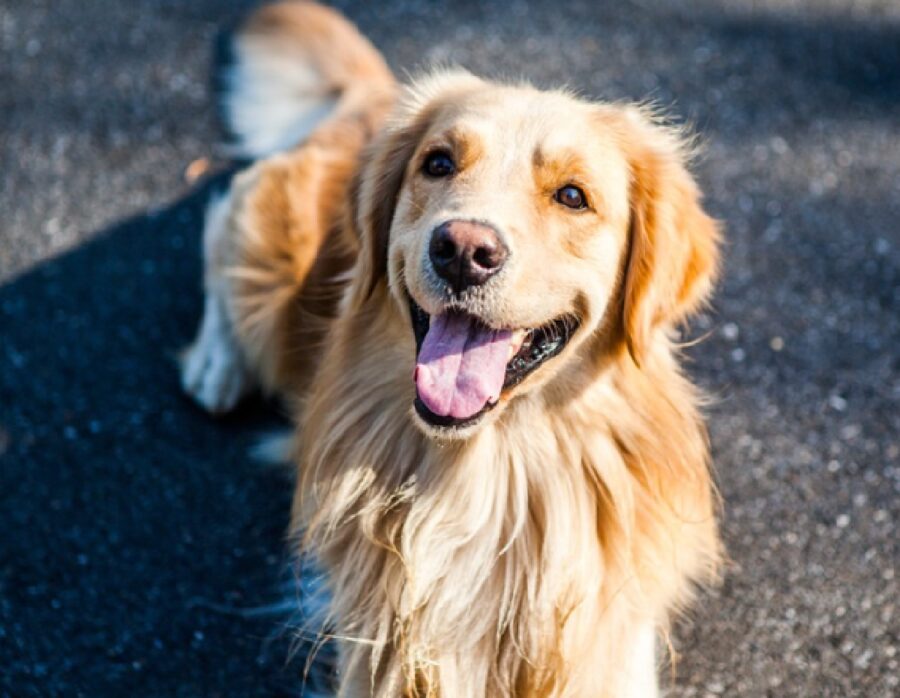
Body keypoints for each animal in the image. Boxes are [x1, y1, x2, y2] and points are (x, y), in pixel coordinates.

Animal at [183, 2, 724, 692]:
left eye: (572, 195)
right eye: (438, 163)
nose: (463, 250)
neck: (490, 472)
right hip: (268, 266)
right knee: (220, 222)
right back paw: (216, 362)